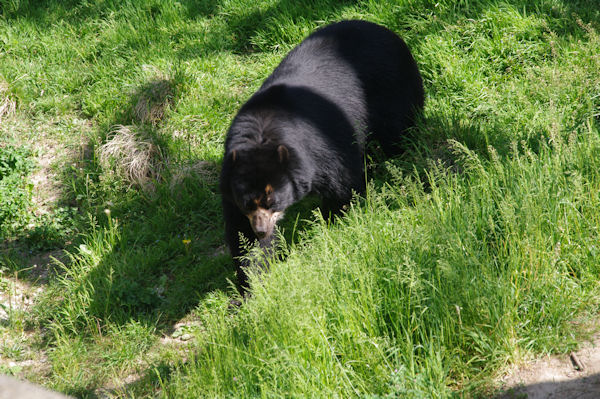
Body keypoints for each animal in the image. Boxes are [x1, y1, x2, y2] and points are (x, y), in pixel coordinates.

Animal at [219, 19, 422, 294]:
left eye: (274, 200)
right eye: (248, 203)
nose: (261, 230)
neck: (261, 134)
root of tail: (384, 30)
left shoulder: (323, 148)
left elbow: (344, 186)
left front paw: (333, 223)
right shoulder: (231, 186)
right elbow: (241, 236)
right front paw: (250, 284)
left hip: (393, 88)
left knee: (399, 131)